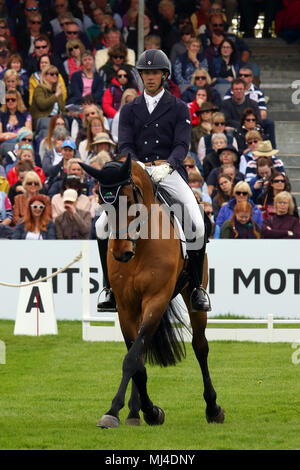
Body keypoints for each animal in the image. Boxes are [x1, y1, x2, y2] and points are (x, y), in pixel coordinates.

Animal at [81, 155, 224, 430]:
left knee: (200, 346)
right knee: (142, 350)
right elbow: (135, 360)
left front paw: (115, 411)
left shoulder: (156, 300)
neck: (142, 243)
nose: (121, 253)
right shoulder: (126, 307)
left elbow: (132, 359)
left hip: (191, 296)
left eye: (130, 201)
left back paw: (213, 408)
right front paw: (145, 410)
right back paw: (135, 412)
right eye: (103, 206)